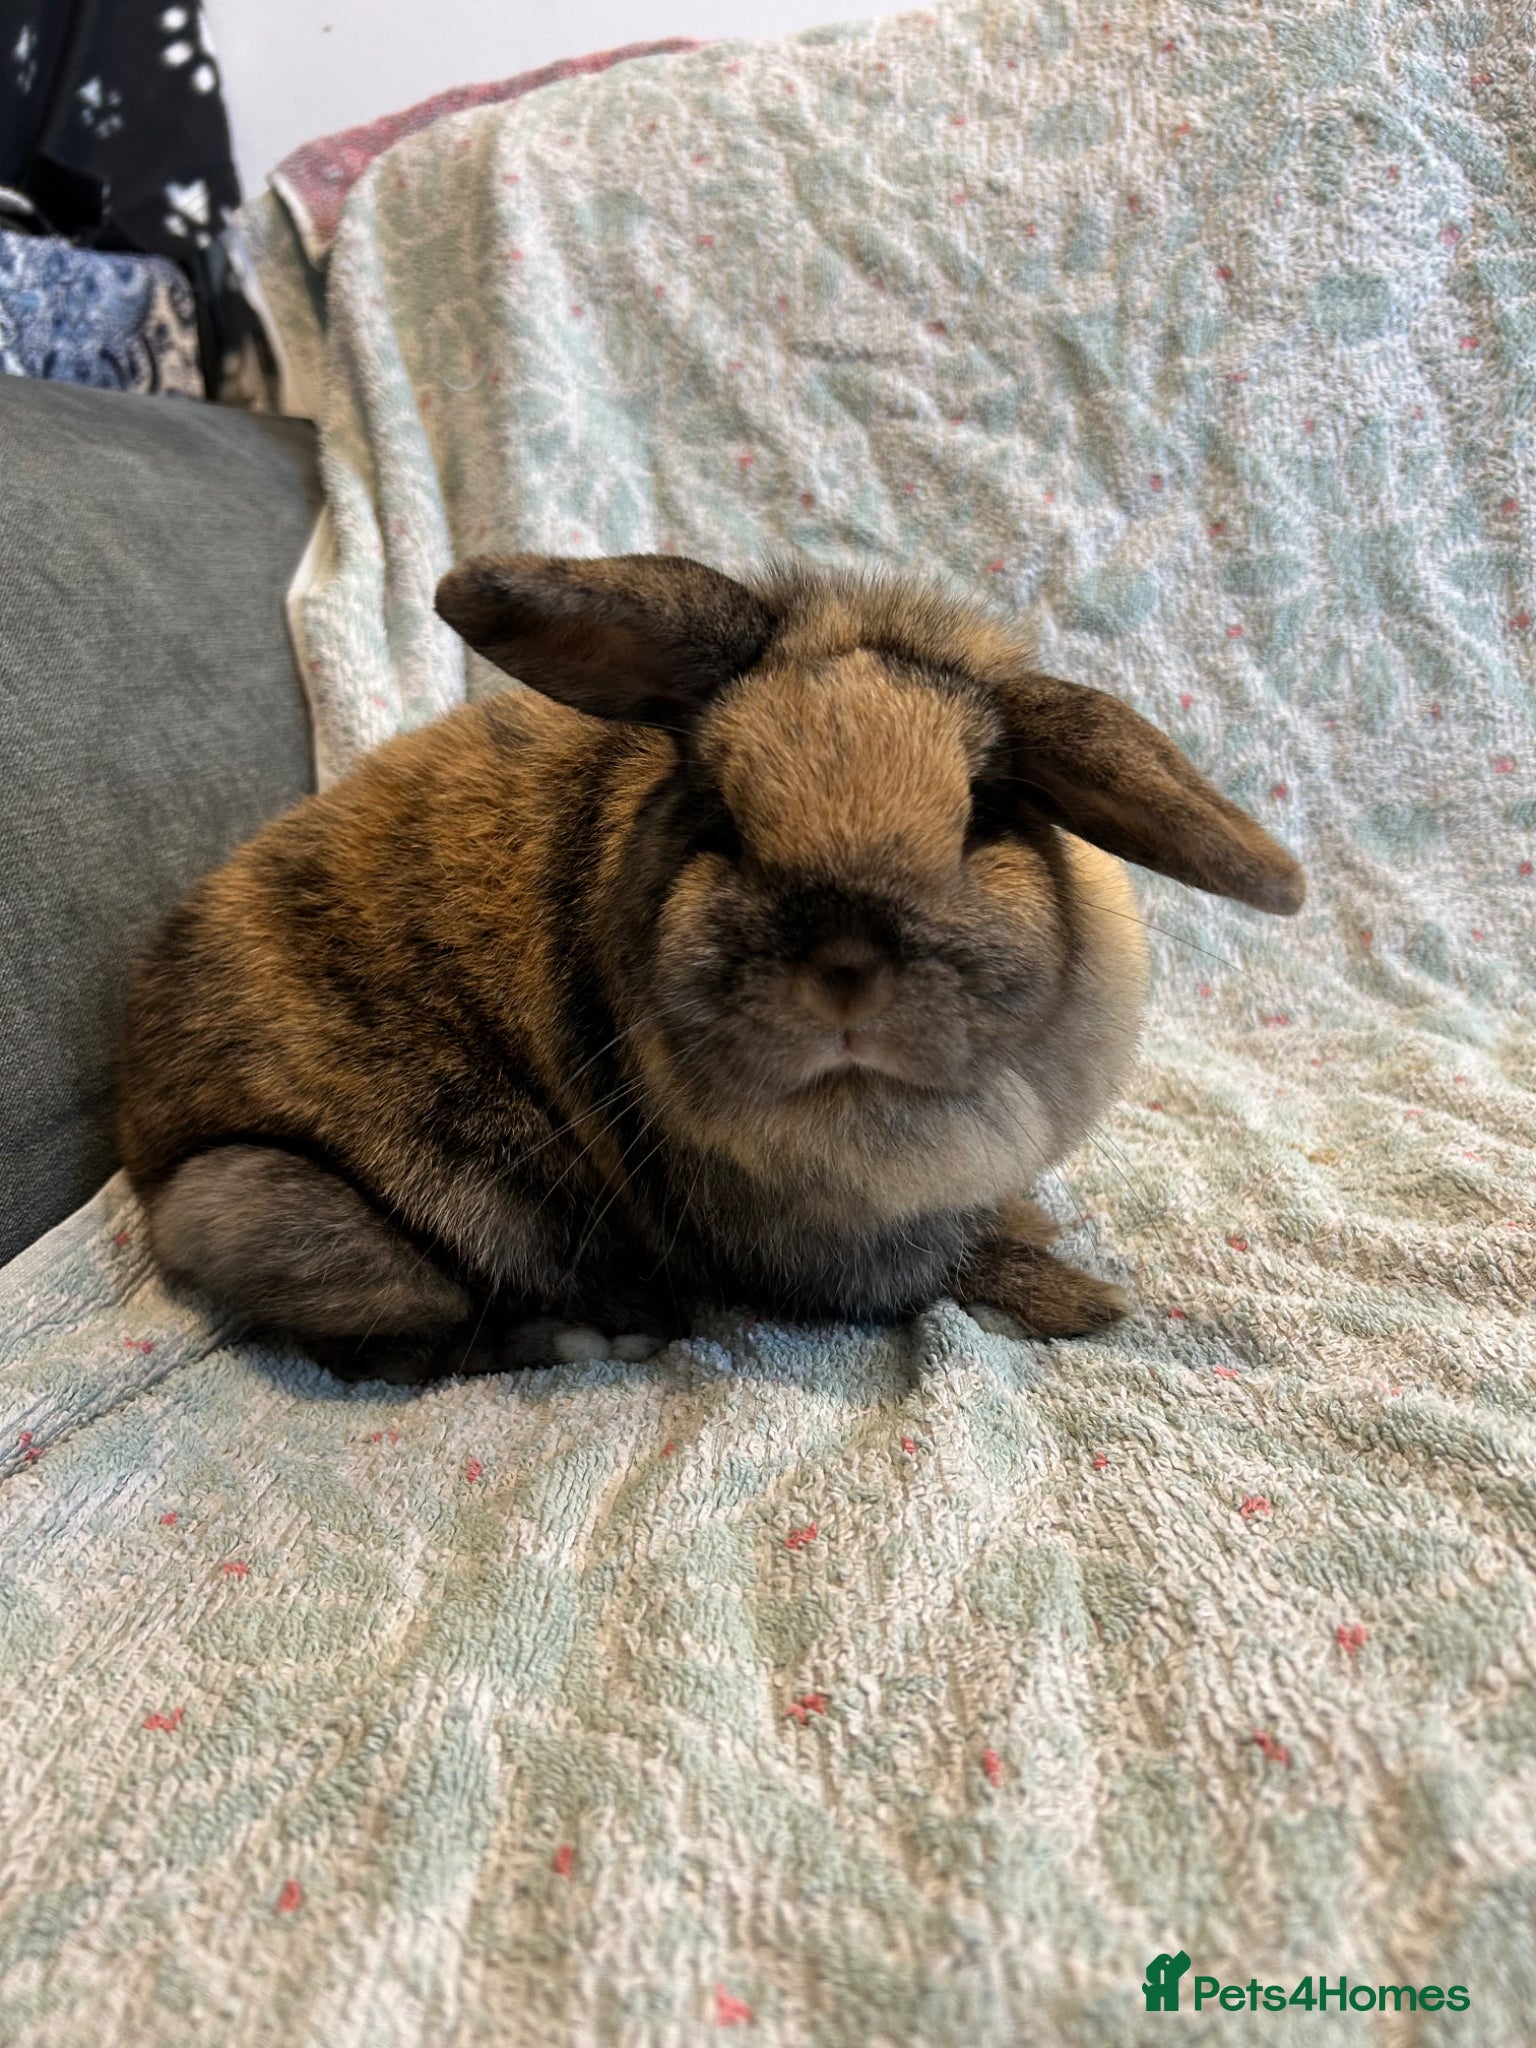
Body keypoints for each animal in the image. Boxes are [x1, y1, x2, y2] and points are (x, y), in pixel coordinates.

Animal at [115, 552, 1304, 1375]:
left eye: (981, 818)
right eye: (722, 822)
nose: (845, 968)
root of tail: (138, 1124)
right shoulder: (826, 1255)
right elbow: (951, 1271)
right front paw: (1083, 1299)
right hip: (276, 1213)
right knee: (402, 1353)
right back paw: (595, 1338)